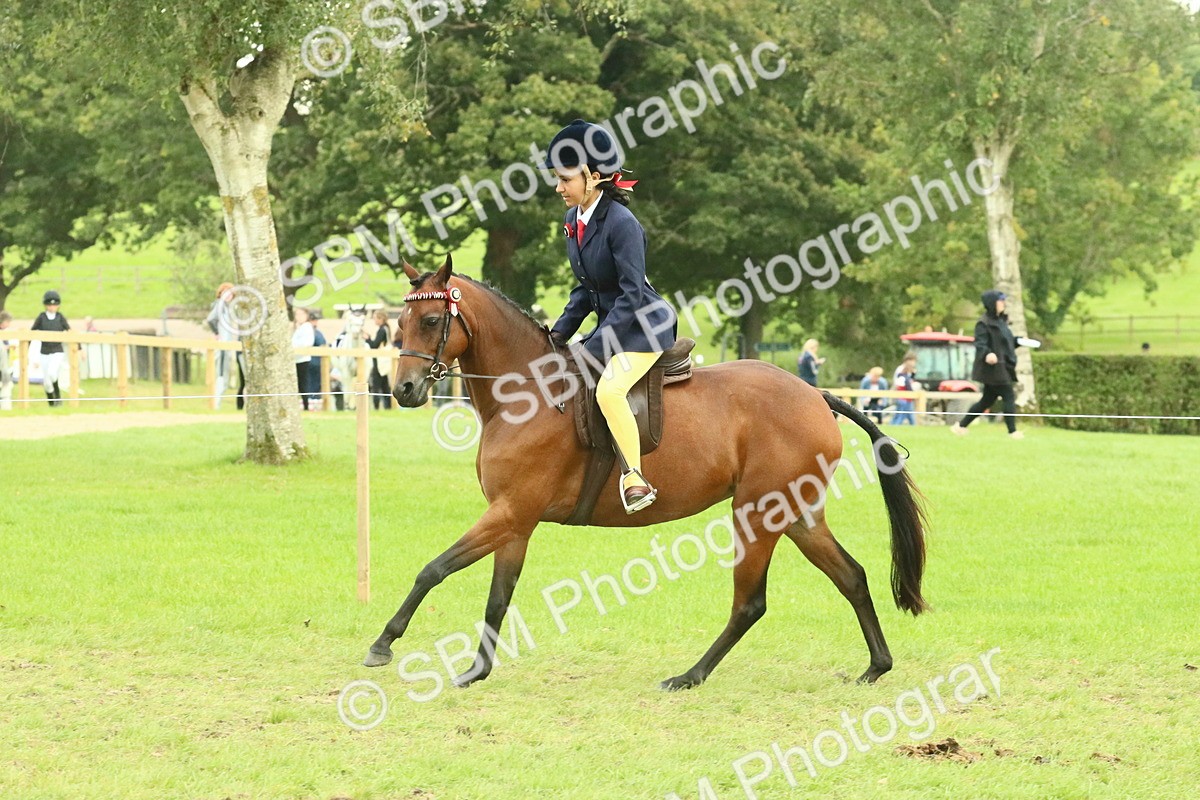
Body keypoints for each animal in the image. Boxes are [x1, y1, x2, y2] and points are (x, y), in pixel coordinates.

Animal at [364, 255, 927, 690]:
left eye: (431, 321)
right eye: (399, 324)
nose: (404, 390)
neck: (526, 394)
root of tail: (816, 395)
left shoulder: (509, 512)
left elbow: (434, 569)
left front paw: (383, 643)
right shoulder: (515, 521)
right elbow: (498, 596)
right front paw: (476, 670)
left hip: (757, 513)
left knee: (750, 603)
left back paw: (690, 676)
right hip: (796, 512)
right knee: (851, 576)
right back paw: (875, 667)